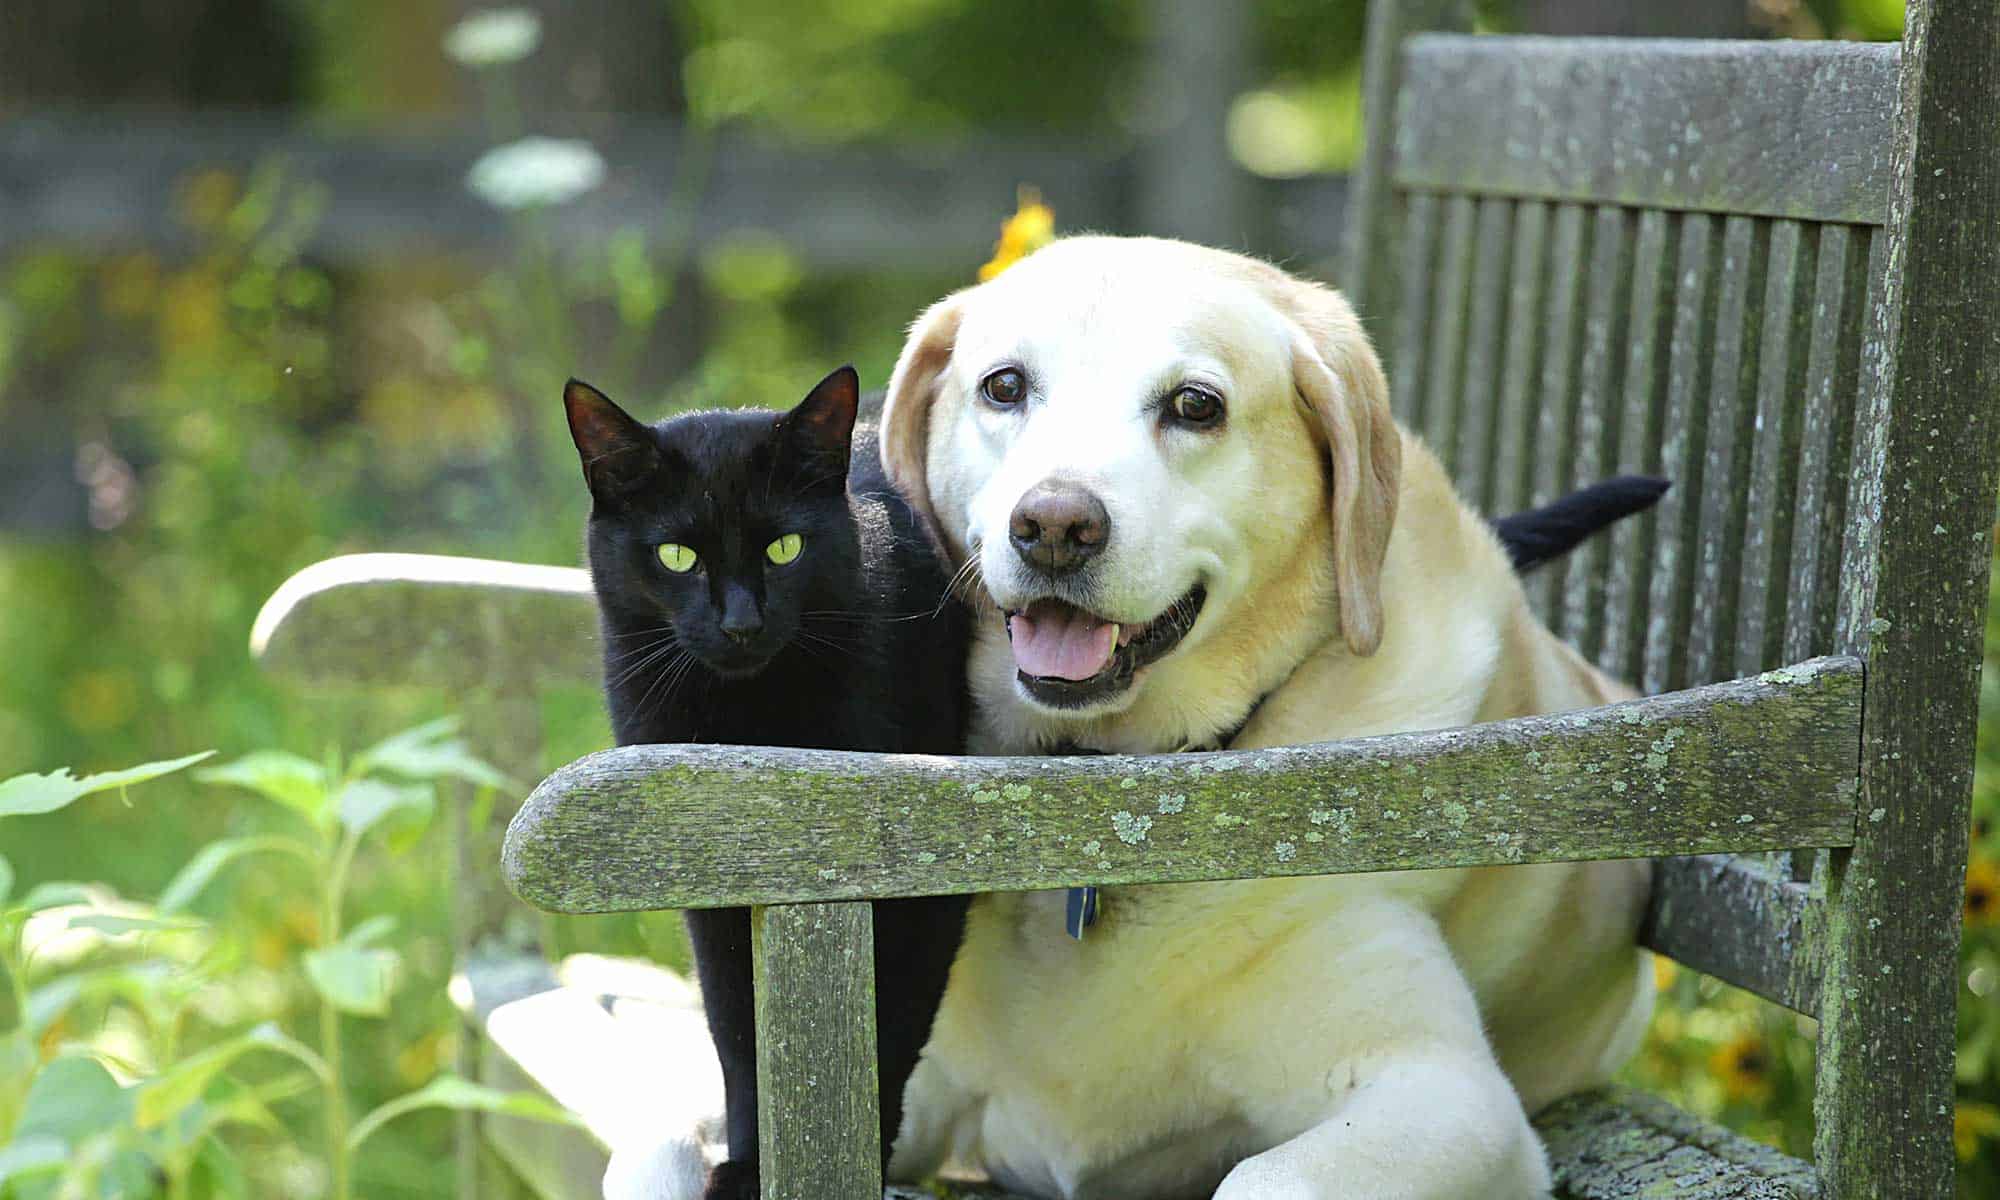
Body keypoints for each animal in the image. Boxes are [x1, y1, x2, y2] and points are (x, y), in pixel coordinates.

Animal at [568, 368, 972, 1200]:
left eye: (785, 548)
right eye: (677, 555)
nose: (741, 624)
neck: (753, 721)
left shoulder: (922, 880)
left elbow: (888, 1026)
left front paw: (842, 1158)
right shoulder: (713, 888)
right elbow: (737, 1031)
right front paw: (751, 1166)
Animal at [880, 237, 1656, 1200]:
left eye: (1195, 405)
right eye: (1004, 387)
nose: (1054, 526)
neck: (1107, 792)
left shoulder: (1446, 1096)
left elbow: (1263, 1178)